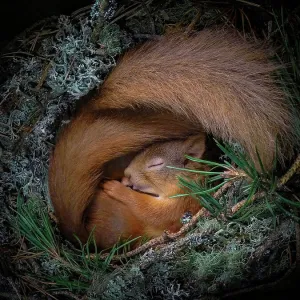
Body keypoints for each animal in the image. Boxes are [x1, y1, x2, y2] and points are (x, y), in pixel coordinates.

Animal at [48, 28, 296, 250]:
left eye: (156, 164)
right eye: (141, 151)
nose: (127, 175)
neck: (188, 180)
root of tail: (82, 237)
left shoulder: (183, 203)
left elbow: (152, 212)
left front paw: (117, 188)